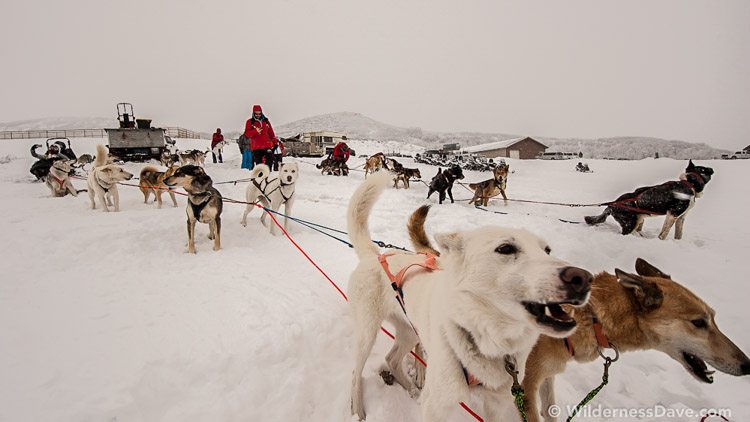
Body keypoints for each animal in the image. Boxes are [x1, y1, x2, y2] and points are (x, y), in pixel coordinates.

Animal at [350, 172, 596, 422]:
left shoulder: (498, 401)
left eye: (546, 250)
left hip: (409, 331)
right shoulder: (437, 404)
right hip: (367, 333)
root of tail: (376, 255)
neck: (487, 338)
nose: (583, 279)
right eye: (505, 248)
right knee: (355, 372)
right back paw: (357, 409)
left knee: (392, 359)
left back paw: (410, 390)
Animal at [524, 258, 750, 420]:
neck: (591, 318)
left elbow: (549, 410)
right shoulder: (527, 385)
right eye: (699, 322)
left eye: (713, 318)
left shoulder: (547, 376)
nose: (747, 365)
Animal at [588, 160, 716, 239]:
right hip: (630, 223)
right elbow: (664, 233)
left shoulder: (681, 217)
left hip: (639, 220)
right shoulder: (673, 214)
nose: (711, 169)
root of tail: (611, 205)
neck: (690, 183)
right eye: (704, 170)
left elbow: (679, 234)